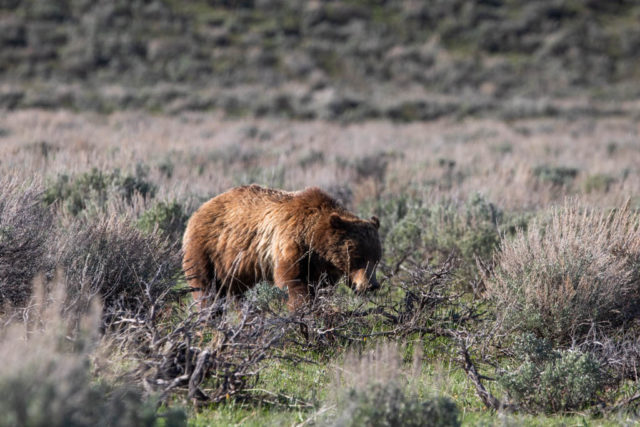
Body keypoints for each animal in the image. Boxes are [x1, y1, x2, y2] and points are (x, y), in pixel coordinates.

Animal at [181, 184, 380, 310]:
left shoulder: (321, 266)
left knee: (236, 292)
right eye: (358, 257)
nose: (371, 285)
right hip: (207, 251)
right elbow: (294, 282)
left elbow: (322, 288)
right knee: (207, 289)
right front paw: (303, 311)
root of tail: (198, 210)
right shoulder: (291, 245)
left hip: (234, 266)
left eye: (376, 259)